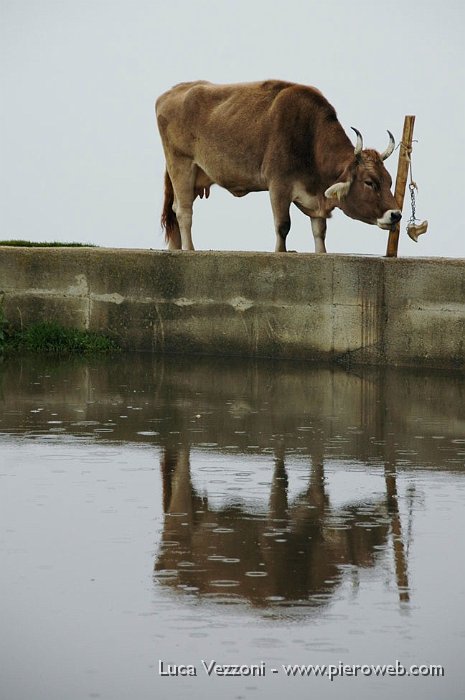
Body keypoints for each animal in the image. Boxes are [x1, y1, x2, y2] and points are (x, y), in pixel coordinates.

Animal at [155, 78, 398, 252]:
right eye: (369, 182)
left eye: (389, 181)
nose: (396, 215)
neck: (309, 137)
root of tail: (172, 91)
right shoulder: (279, 185)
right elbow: (283, 226)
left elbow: (319, 230)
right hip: (181, 164)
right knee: (183, 211)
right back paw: (189, 250)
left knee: (174, 209)